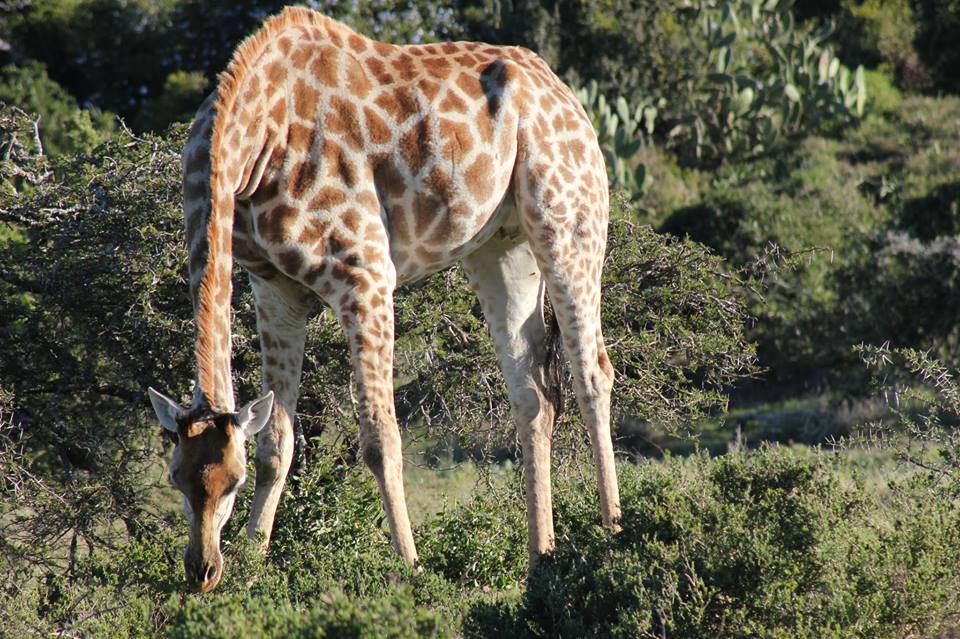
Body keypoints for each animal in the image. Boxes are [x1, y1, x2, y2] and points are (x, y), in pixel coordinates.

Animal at [146, 6, 620, 596]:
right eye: (176, 478)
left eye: (231, 482)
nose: (202, 570)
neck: (250, 147)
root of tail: (562, 91)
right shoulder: (273, 288)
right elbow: (277, 440)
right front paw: (254, 563)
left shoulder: (364, 274)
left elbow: (379, 438)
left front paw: (410, 567)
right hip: (500, 248)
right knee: (532, 394)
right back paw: (541, 560)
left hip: (569, 221)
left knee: (592, 372)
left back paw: (612, 537)